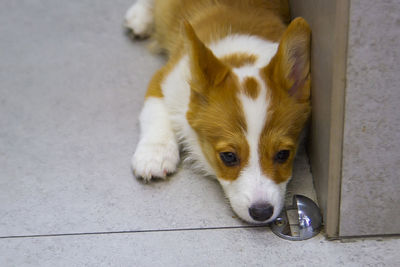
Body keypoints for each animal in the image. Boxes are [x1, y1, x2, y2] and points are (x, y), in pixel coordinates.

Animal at [123, 0, 310, 225]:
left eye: (283, 154)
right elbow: (155, 112)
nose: (262, 212)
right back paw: (140, 16)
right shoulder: (162, 79)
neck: (242, 56)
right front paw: (154, 155)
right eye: (228, 156)